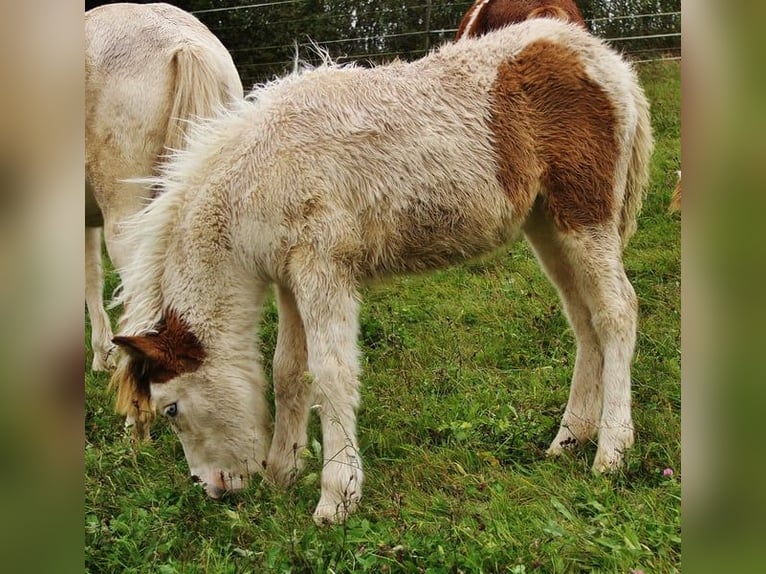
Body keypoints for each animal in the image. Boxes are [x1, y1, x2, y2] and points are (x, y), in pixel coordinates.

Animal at [111, 18, 653, 523]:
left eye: (171, 409)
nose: (215, 489)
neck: (258, 175)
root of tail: (607, 62)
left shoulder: (324, 268)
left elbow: (331, 373)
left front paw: (336, 497)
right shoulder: (290, 279)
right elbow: (287, 372)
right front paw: (283, 472)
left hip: (585, 215)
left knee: (616, 313)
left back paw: (611, 451)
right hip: (546, 224)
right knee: (584, 321)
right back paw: (569, 438)